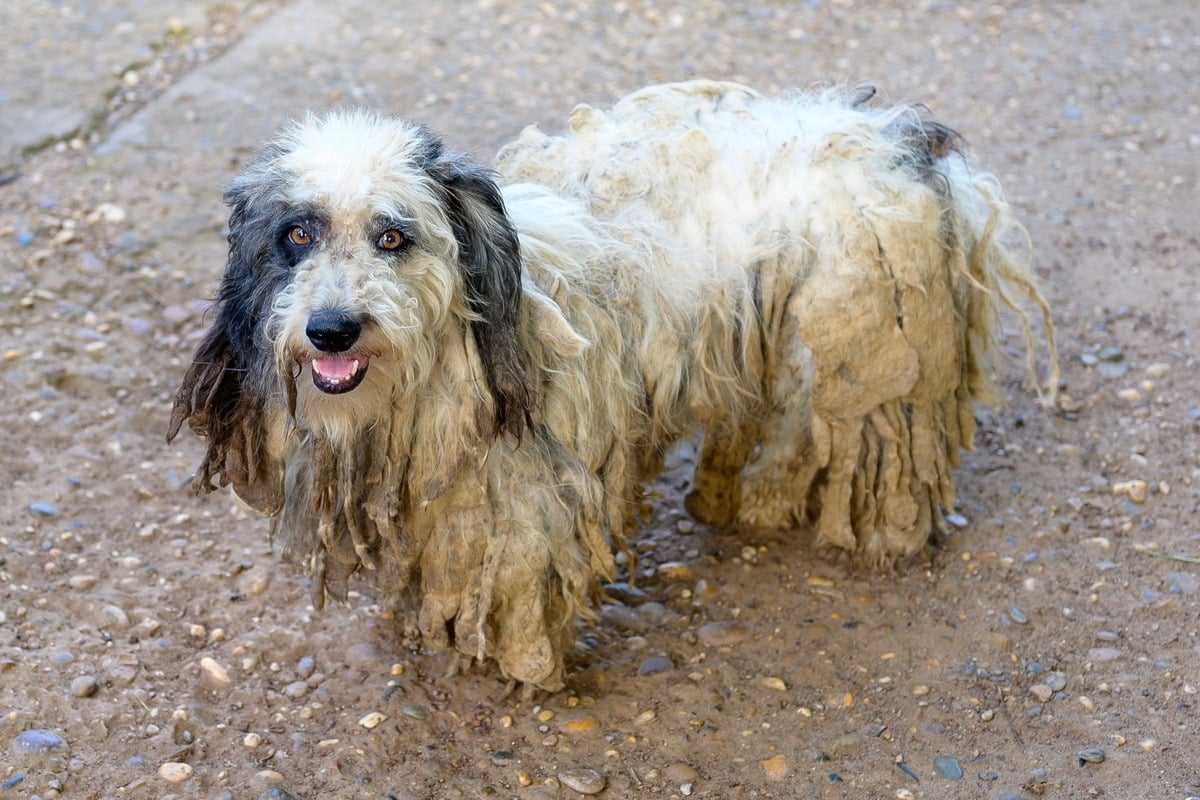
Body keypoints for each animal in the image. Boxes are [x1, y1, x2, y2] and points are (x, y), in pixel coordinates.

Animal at [171, 82, 1060, 695]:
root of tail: (903, 136)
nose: (332, 329)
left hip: (858, 352)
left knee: (867, 443)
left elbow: (519, 583)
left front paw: (519, 665)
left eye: (393, 236)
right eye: (297, 233)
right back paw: (745, 499)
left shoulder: (528, 498)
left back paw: (878, 533)